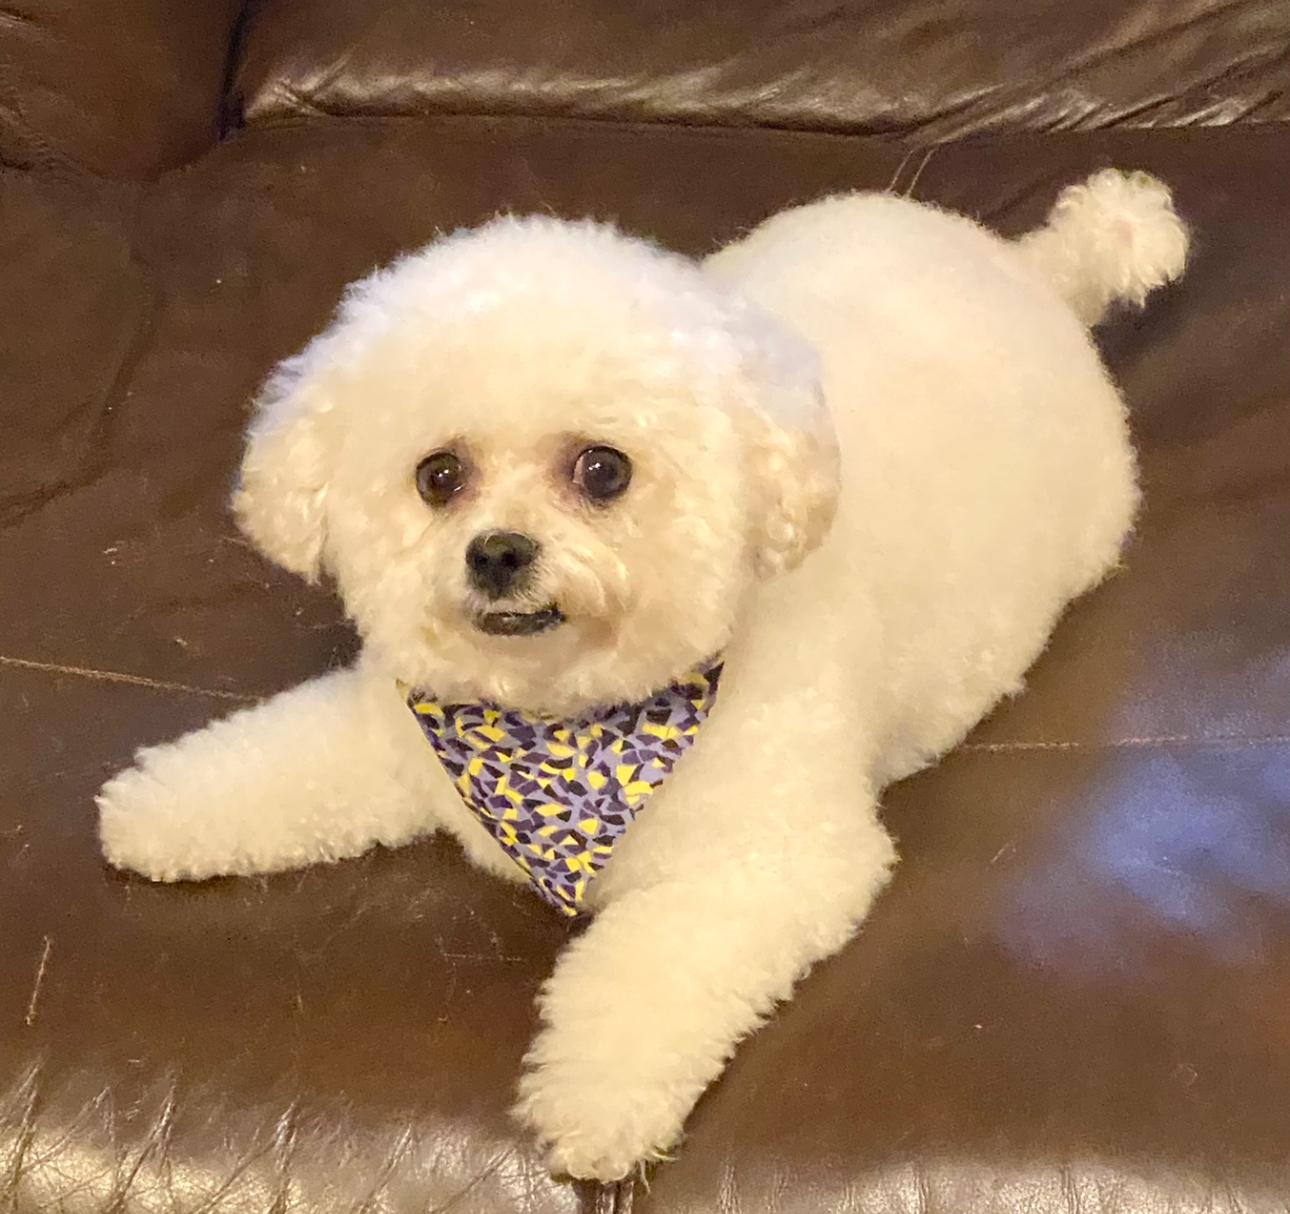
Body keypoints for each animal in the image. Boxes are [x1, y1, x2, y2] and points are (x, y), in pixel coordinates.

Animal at [98, 170, 1188, 1180]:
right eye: (438, 476)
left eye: (603, 470)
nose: (498, 553)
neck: (558, 721)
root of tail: (1031, 267)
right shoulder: (392, 734)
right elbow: (268, 765)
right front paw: (151, 811)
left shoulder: (770, 866)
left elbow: (642, 978)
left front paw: (591, 1101)